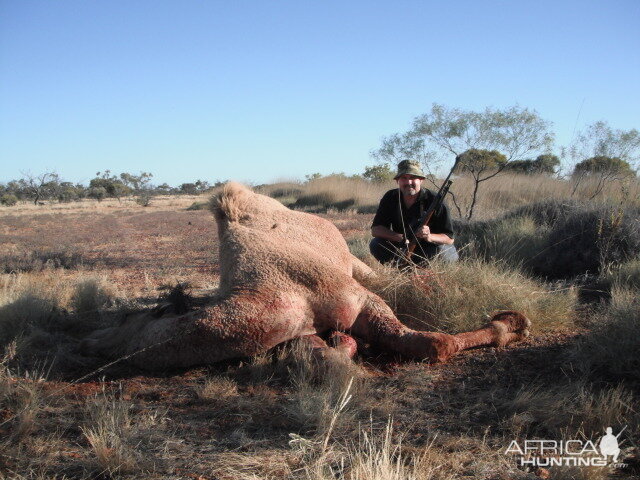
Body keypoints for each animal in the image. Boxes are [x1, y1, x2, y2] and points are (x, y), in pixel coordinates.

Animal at [80, 182, 528, 370]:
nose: (92, 340)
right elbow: (329, 356)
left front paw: (510, 323)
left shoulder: (359, 298)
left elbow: (434, 343)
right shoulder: (300, 334)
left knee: (395, 275)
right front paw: (346, 344)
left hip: (353, 262)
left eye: (132, 316)